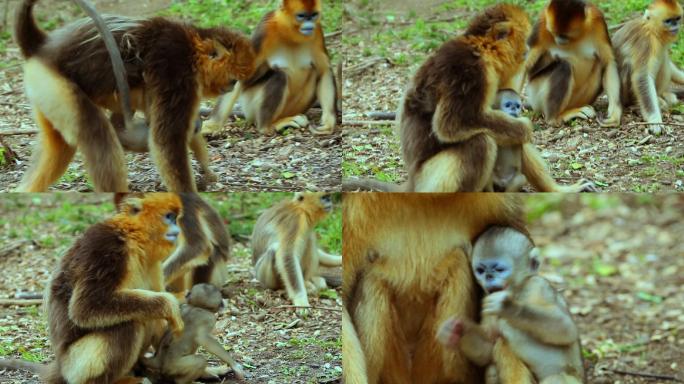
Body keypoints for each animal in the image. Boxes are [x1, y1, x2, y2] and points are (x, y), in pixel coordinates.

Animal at [15, 0, 256, 192]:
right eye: (232, 78)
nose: (232, 85)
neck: (192, 49)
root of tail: (41, 47)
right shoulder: (175, 69)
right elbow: (166, 139)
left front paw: (207, 172)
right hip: (54, 83)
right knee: (97, 135)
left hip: (45, 89)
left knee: (62, 145)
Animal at [202, 0, 338, 136]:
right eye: (301, 16)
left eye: (314, 15)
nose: (309, 25)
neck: (289, 32)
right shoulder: (264, 29)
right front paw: (212, 125)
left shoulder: (317, 31)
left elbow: (324, 71)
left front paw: (328, 123)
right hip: (250, 106)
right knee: (279, 75)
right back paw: (268, 126)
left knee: (313, 71)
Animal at [438, 226, 584, 382]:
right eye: (481, 270)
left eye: (499, 269)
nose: (489, 276)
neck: (517, 292)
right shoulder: (486, 302)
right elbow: (487, 350)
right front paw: (458, 330)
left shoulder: (538, 286)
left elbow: (565, 327)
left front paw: (507, 306)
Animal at [612, 0, 680, 136]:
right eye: (668, 21)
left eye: (677, 19)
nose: (675, 26)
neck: (651, 30)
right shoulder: (645, 43)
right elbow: (641, 77)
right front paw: (654, 120)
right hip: (625, 94)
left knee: (663, 58)